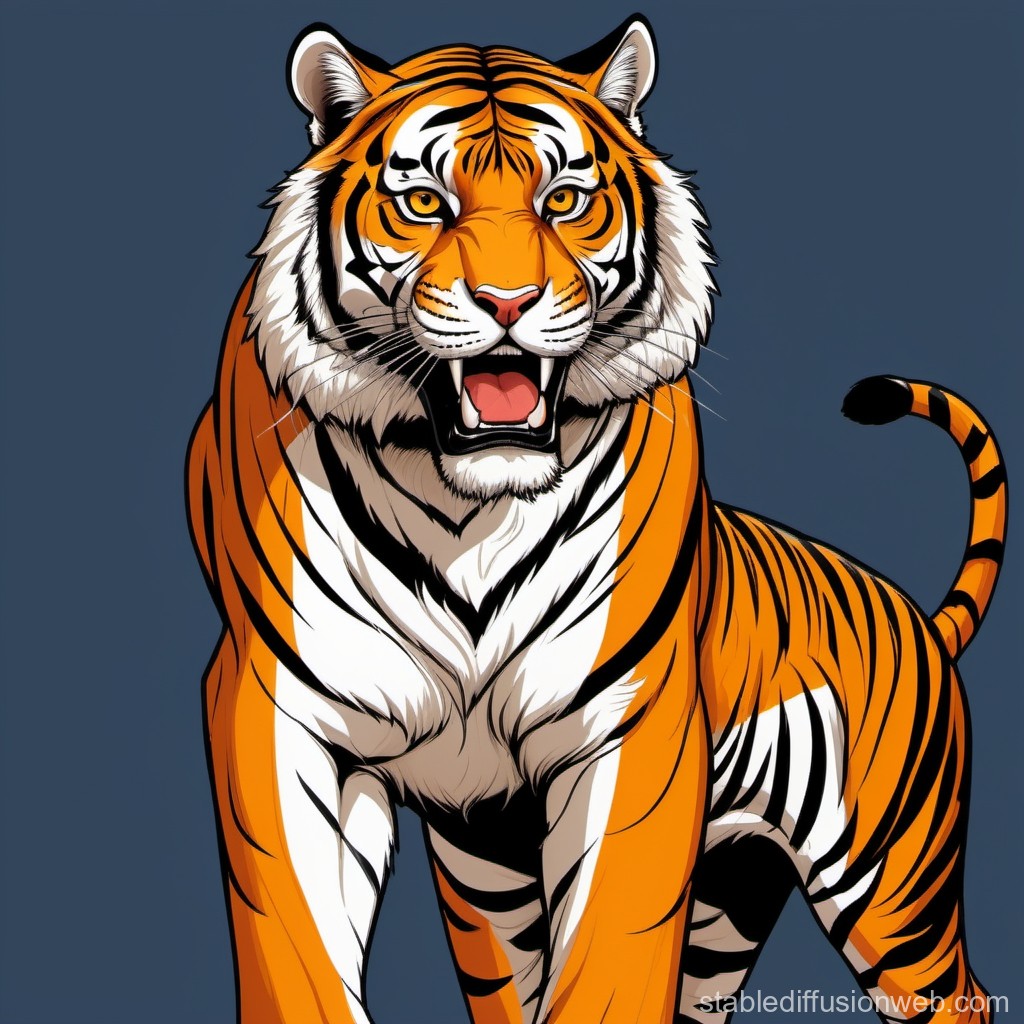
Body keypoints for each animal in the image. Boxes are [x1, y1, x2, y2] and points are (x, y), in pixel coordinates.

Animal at [185, 15, 1007, 1024]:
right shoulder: (277, 708)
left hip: (894, 888)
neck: (468, 506)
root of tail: (922, 621)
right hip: (572, 879)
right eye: (424, 203)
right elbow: (294, 945)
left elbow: (609, 961)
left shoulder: (631, 724)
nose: (507, 304)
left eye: (566, 200)